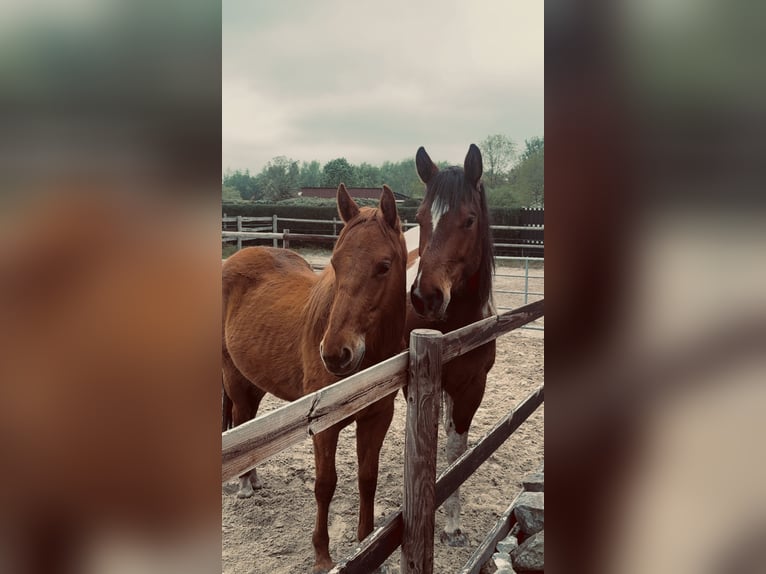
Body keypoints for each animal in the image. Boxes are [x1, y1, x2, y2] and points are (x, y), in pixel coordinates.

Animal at [222, 184, 408, 573]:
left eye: (384, 266)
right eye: (336, 264)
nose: (336, 353)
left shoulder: (378, 417)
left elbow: (367, 479)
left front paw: (366, 543)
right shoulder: (324, 425)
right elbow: (325, 484)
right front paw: (322, 555)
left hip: (255, 380)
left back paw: (253, 479)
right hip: (234, 377)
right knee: (239, 421)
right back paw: (245, 484)